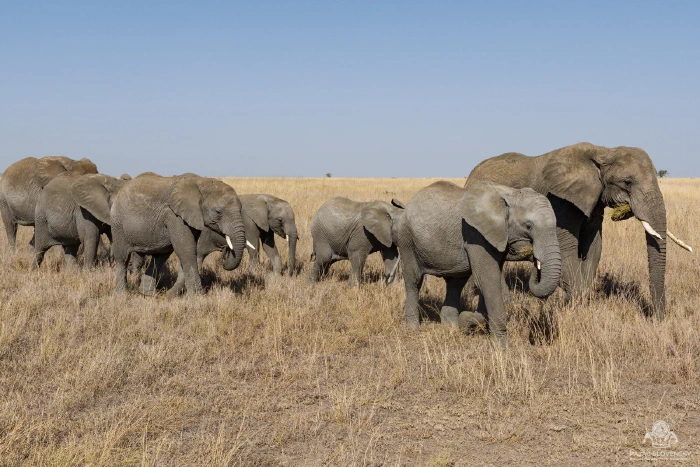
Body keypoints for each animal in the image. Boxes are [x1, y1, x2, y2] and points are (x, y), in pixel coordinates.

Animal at [110, 173, 246, 296]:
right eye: (218, 212)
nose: (225, 253)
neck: (201, 182)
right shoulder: (174, 215)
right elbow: (186, 250)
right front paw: (198, 297)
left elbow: (191, 250)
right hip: (118, 224)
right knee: (122, 258)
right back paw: (122, 295)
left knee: (160, 257)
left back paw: (148, 294)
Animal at [395, 180, 561, 343]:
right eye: (528, 226)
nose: (534, 257)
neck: (510, 194)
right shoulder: (476, 235)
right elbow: (489, 280)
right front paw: (502, 346)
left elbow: (489, 281)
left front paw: (465, 321)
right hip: (406, 239)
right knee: (414, 281)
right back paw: (413, 328)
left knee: (455, 283)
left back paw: (451, 327)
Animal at [466, 142, 689, 319]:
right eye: (627, 182)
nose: (657, 318)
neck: (603, 152)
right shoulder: (560, 202)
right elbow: (567, 248)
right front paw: (575, 306)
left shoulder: (594, 200)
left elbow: (594, 246)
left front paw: (582, 302)